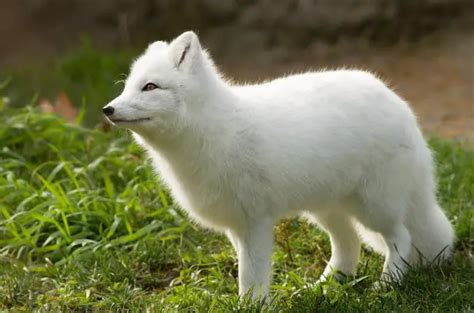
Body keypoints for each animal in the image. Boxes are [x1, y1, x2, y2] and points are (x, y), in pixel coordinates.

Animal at [103, 31, 456, 298]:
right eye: (127, 86)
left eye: (150, 87)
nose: (107, 109)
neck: (214, 131)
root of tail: (396, 100)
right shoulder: (235, 226)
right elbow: (246, 272)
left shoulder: (254, 222)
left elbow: (251, 276)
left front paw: (252, 306)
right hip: (325, 209)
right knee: (350, 244)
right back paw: (325, 288)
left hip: (374, 206)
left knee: (401, 238)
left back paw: (387, 285)